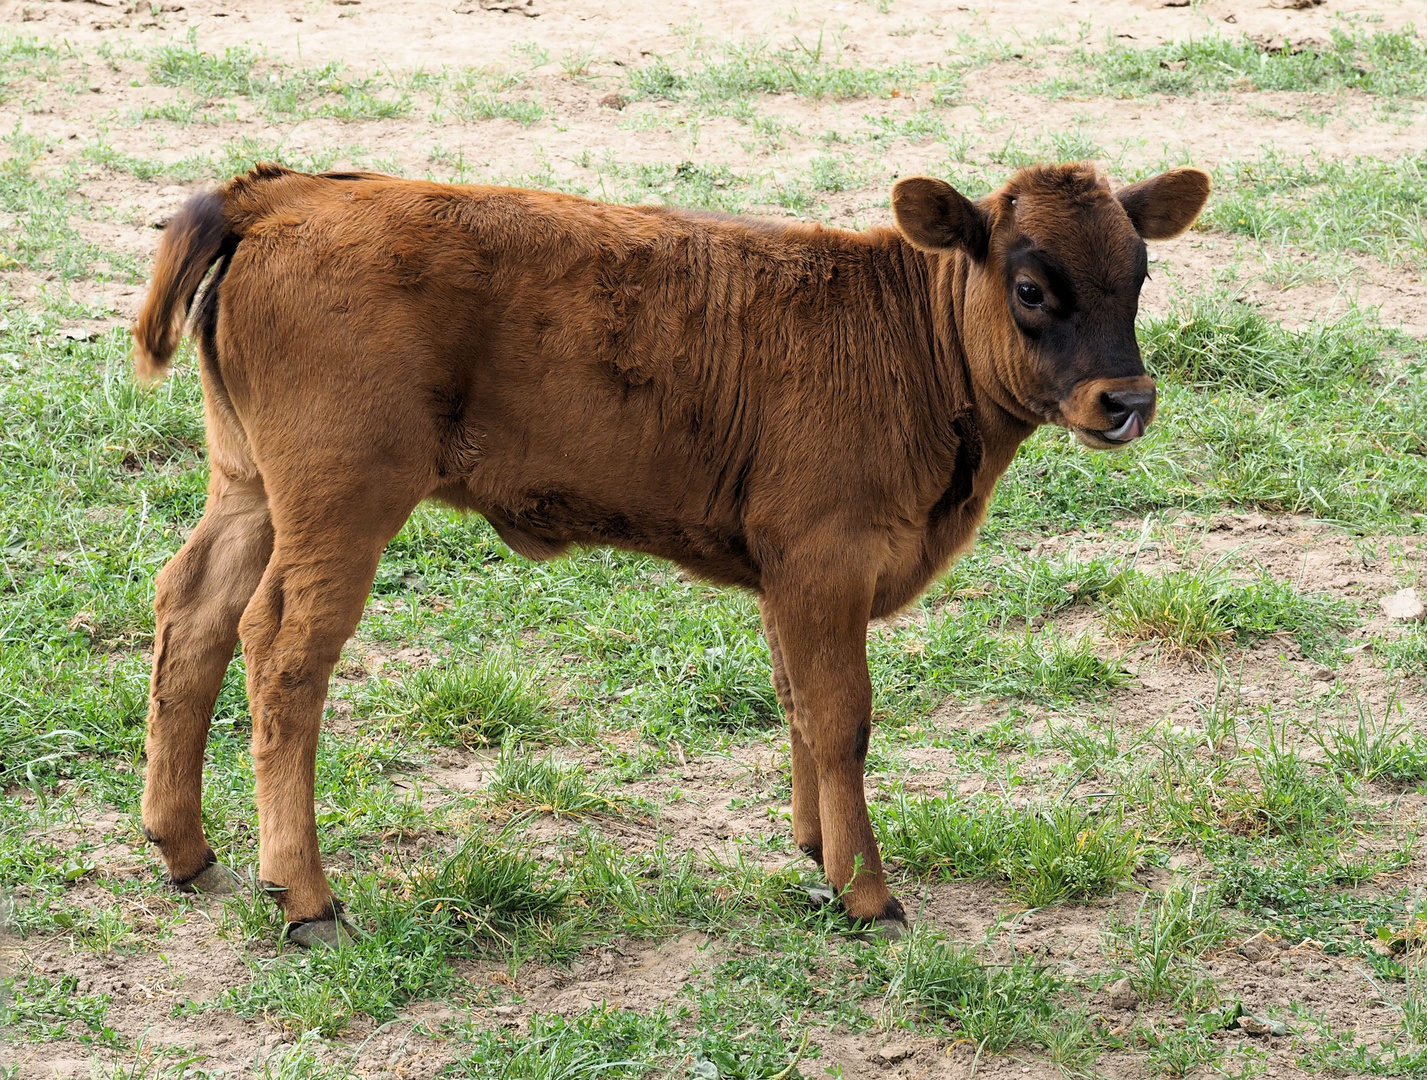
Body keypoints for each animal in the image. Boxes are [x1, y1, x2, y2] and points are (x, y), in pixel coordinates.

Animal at [134, 161, 1210, 941]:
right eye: (1030, 287)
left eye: (1138, 276)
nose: (1126, 400)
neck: (901, 336)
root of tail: (286, 192)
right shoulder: (825, 562)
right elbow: (841, 718)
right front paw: (866, 894)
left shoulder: (789, 579)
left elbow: (795, 702)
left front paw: (815, 850)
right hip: (340, 506)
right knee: (282, 652)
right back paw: (305, 896)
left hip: (249, 489)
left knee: (191, 611)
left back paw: (183, 848)